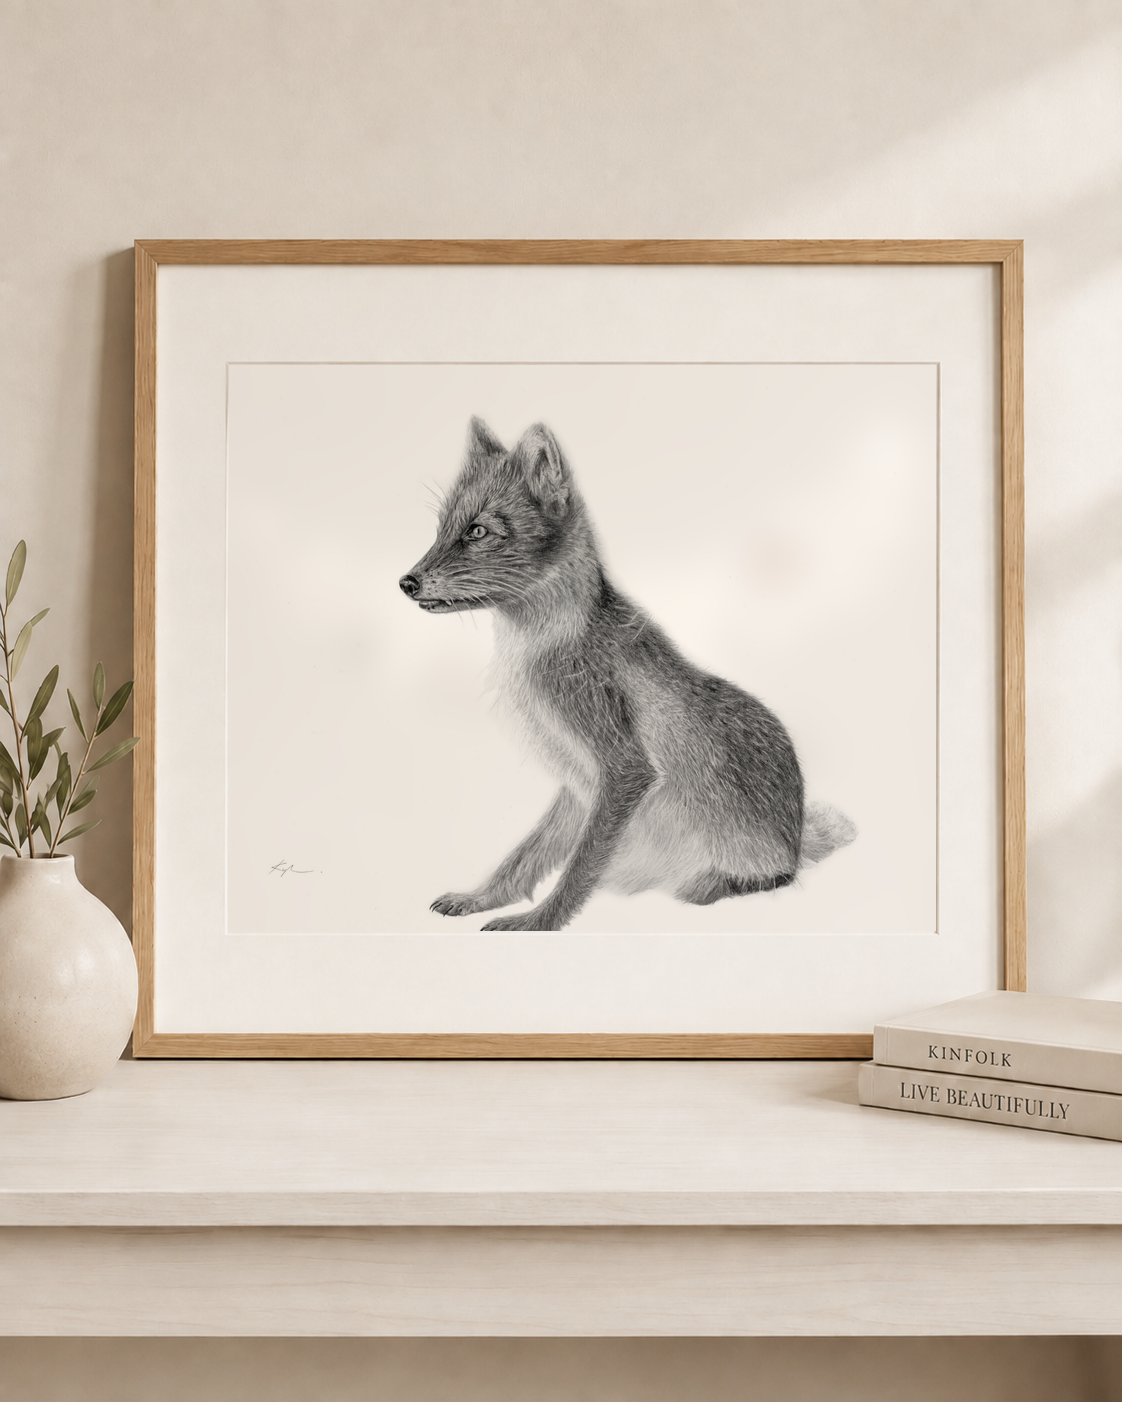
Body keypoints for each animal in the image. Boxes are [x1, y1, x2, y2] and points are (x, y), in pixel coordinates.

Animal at [399, 417, 856, 932]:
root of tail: (796, 833)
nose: (406, 582)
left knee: (774, 877)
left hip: (746, 857)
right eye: (441, 529)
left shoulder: (625, 770)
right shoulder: (578, 784)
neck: (538, 651)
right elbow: (526, 857)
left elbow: (579, 868)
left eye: (476, 531)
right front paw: (481, 898)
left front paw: (539, 922)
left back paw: (711, 882)